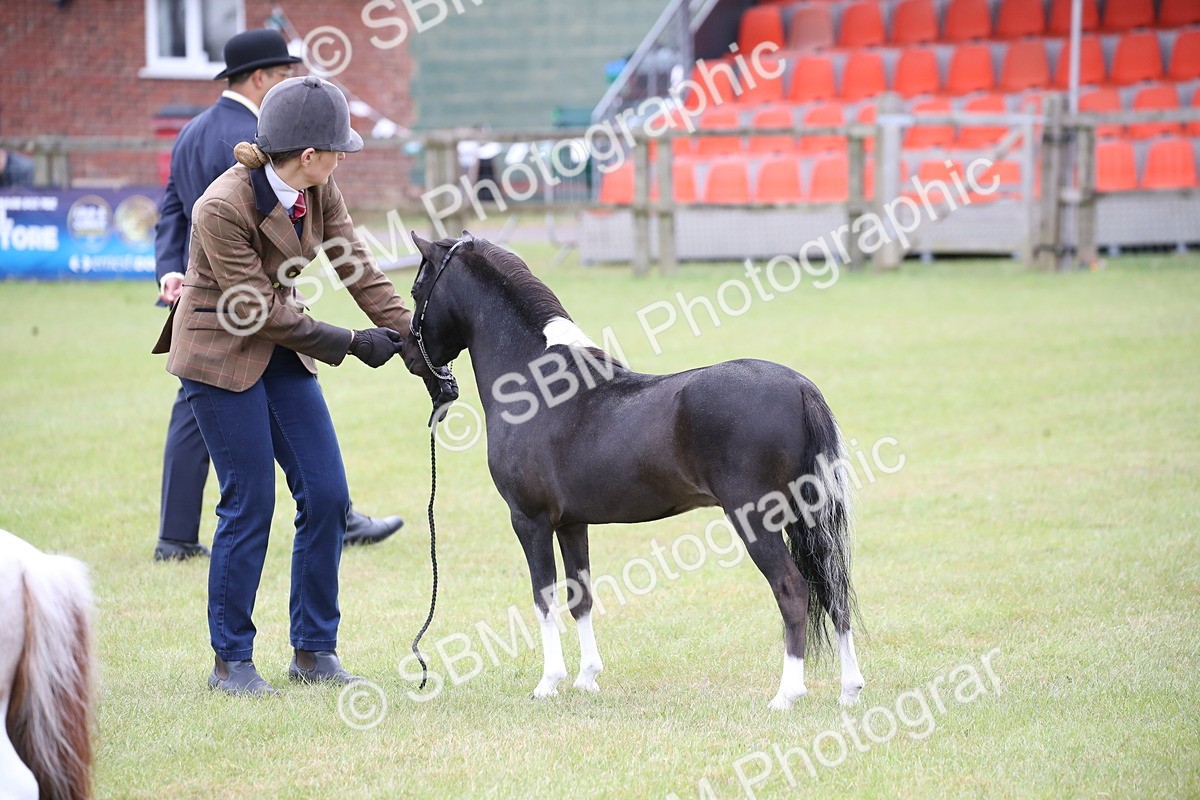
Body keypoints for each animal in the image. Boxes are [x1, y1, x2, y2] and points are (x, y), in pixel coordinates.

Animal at [402, 232, 865, 709]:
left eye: (417, 290)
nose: (410, 355)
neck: (537, 385)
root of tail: (799, 387)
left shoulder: (529, 520)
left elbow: (543, 597)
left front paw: (548, 682)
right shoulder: (571, 524)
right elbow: (580, 596)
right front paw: (587, 677)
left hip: (757, 517)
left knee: (793, 590)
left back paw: (786, 694)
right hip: (804, 516)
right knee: (833, 590)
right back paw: (849, 689)